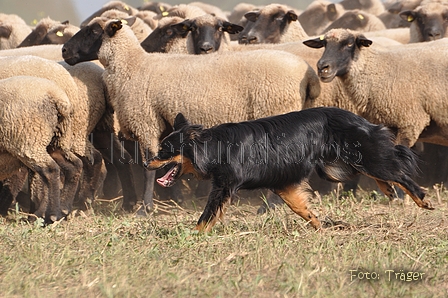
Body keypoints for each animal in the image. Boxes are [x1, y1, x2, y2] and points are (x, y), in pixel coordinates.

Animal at [0, 77, 75, 221]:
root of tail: (56, 96)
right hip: (57, 140)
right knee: (74, 165)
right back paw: (63, 207)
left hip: (29, 140)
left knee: (50, 170)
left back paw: (51, 214)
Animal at [62, 16, 322, 212]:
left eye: (93, 31)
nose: (64, 50)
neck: (132, 66)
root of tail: (309, 74)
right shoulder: (163, 123)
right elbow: (164, 163)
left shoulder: (146, 120)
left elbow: (148, 167)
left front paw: (145, 209)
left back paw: (269, 206)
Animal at [144, 107, 434, 230]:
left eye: (164, 151)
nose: (147, 162)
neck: (213, 146)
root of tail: (360, 119)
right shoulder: (283, 183)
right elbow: (301, 208)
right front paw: (319, 227)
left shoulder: (224, 186)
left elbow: (206, 215)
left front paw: (193, 235)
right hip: (336, 166)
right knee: (378, 172)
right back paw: (388, 190)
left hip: (360, 157)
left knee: (397, 171)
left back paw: (422, 200)